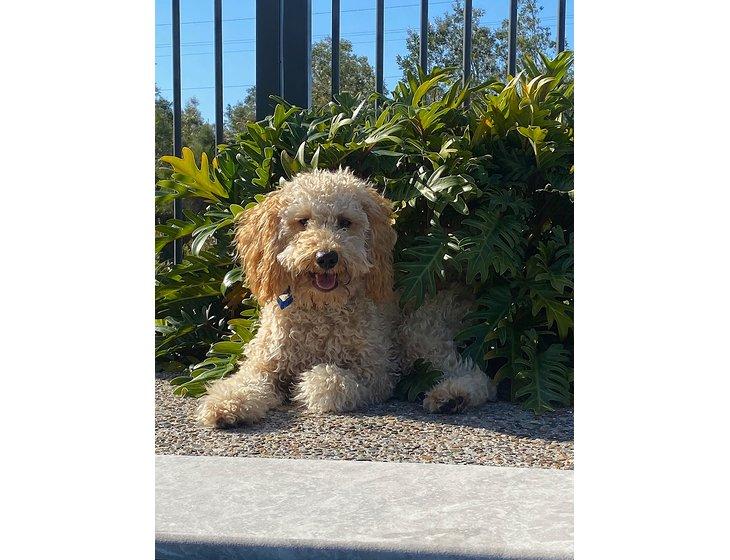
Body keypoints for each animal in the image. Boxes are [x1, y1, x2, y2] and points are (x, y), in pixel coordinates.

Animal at [196, 168, 498, 426]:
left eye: (344, 222)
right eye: (302, 222)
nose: (327, 257)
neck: (320, 309)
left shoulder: (376, 374)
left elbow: (330, 380)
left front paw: (306, 388)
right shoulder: (263, 363)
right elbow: (244, 381)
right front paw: (227, 403)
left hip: (418, 332)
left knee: (476, 375)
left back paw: (452, 396)